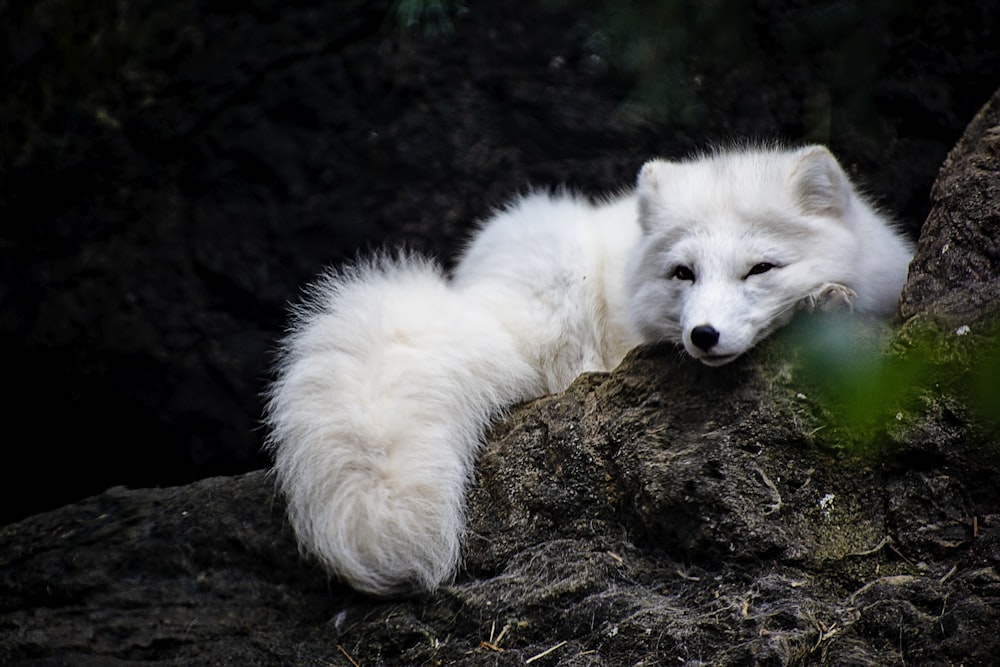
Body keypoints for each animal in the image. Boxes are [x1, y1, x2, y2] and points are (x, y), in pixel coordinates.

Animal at [264, 145, 916, 596]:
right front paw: (820, 303)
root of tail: (477, 293)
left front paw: (825, 298)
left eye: (760, 268)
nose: (703, 336)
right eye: (683, 273)